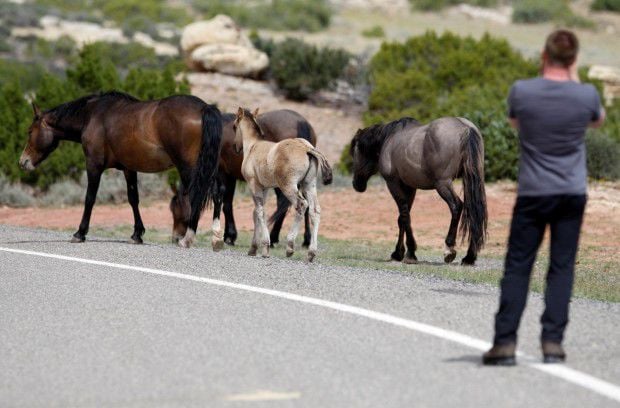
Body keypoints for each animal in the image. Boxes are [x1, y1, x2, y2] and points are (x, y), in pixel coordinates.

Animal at [20, 90, 223, 247]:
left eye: (30, 131)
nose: (23, 161)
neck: (93, 116)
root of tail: (204, 107)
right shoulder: (128, 168)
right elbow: (133, 199)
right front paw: (137, 234)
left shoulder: (93, 165)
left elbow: (89, 198)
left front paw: (80, 233)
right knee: (217, 194)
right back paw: (216, 238)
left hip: (189, 169)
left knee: (197, 196)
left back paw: (187, 239)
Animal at [170, 109, 318, 249]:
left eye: (175, 209)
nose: (175, 237)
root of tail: (300, 122)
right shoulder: (230, 177)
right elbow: (227, 203)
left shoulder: (224, 175)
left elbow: (226, 205)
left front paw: (229, 236)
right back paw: (305, 240)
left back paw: (274, 237)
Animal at [232, 107, 332, 262]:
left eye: (234, 126)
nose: (235, 147)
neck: (253, 146)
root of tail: (306, 148)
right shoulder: (264, 188)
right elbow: (256, 213)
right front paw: (253, 248)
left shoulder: (253, 185)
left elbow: (260, 212)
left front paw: (265, 247)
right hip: (309, 185)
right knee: (315, 210)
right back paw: (311, 252)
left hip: (289, 187)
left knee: (301, 205)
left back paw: (290, 246)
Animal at [352, 116, 486, 266]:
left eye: (355, 153)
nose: (356, 184)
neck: (390, 137)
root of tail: (465, 128)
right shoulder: (410, 188)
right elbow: (402, 218)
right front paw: (400, 252)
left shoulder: (393, 184)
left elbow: (404, 216)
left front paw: (407, 253)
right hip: (471, 180)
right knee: (474, 210)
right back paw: (469, 257)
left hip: (443, 184)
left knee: (456, 206)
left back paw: (449, 249)